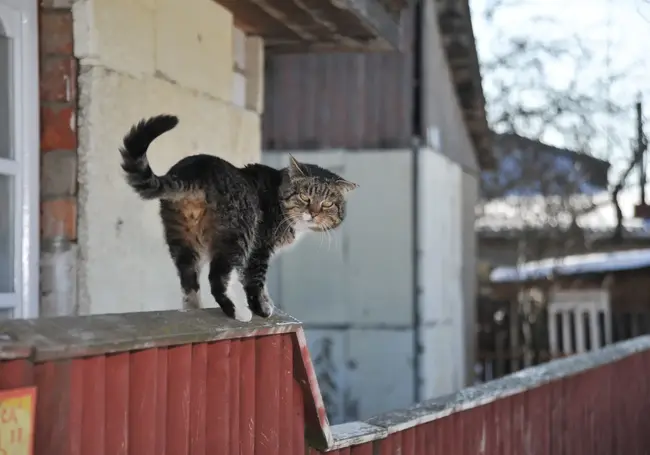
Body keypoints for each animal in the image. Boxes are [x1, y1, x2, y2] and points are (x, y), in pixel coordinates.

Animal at [119, 114, 356, 322]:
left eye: (327, 204)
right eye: (305, 196)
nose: (313, 213)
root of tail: (197, 170)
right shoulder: (260, 248)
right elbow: (255, 282)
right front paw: (262, 308)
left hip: (182, 238)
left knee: (188, 280)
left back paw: (193, 310)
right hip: (238, 235)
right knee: (217, 278)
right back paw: (238, 313)